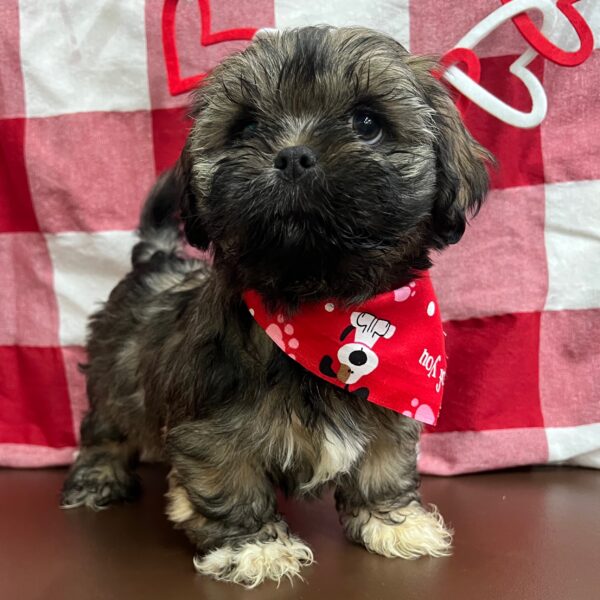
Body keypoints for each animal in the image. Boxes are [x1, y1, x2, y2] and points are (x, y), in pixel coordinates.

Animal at [62, 27, 492, 584]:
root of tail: (158, 261)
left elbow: (383, 465)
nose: (293, 156)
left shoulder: (390, 412)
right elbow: (231, 484)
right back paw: (98, 477)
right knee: (103, 428)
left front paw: (392, 522)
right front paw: (256, 547)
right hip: (114, 378)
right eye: (245, 126)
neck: (317, 304)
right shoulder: (211, 433)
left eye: (367, 121)